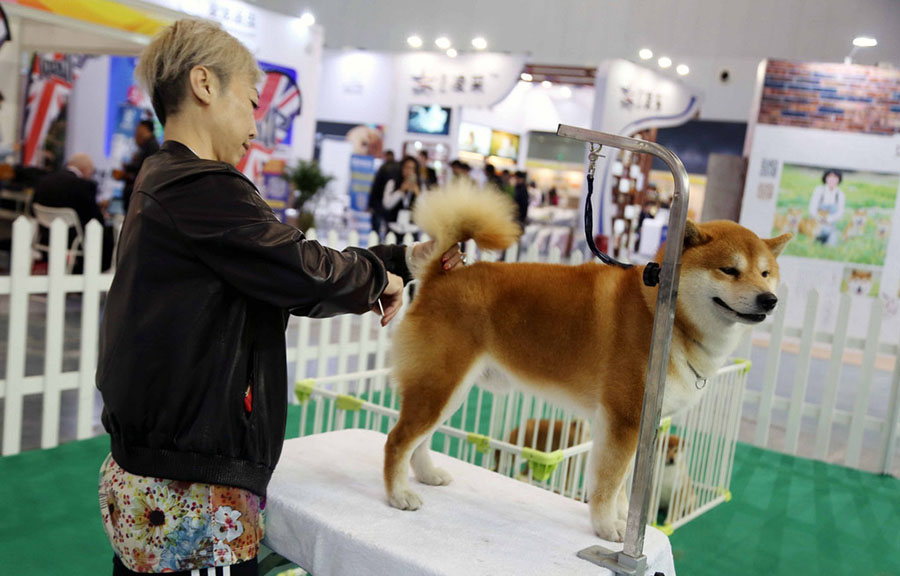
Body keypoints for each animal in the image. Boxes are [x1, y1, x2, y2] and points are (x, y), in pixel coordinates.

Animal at [384, 182, 792, 544]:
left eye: (766, 273)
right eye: (729, 270)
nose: (769, 299)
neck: (660, 313)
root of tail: (438, 274)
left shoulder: (636, 427)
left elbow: (622, 486)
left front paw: (622, 519)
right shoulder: (623, 420)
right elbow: (608, 484)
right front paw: (608, 529)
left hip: (449, 389)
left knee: (419, 441)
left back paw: (427, 475)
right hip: (441, 384)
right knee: (397, 440)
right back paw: (398, 495)